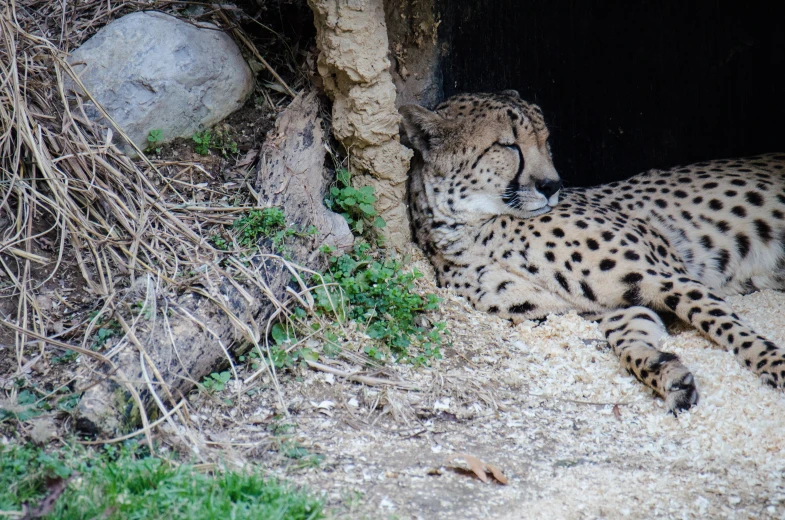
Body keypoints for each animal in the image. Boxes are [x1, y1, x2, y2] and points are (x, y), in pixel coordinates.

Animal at [402, 91, 784, 412]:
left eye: (545, 141)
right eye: (508, 145)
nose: (552, 185)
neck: (474, 229)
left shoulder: (668, 277)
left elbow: (728, 327)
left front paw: (775, 365)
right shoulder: (612, 306)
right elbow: (626, 341)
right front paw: (663, 371)